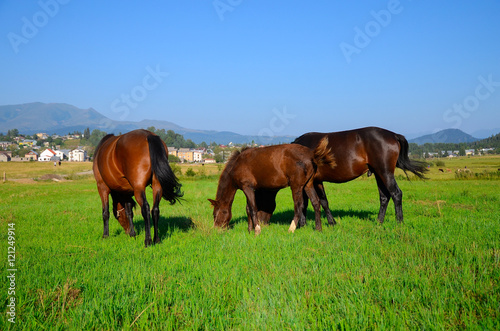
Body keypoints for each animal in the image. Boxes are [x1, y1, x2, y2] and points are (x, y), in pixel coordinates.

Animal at [208, 139, 336, 235]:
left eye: (215, 214)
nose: (217, 229)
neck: (238, 164)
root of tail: (312, 155)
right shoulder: (248, 188)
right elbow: (248, 208)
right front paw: (250, 229)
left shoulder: (247, 187)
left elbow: (253, 208)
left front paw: (257, 230)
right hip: (308, 185)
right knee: (316, 203)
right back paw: (318, 228)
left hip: (296, 187)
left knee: (299, 206)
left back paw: (291, 229)